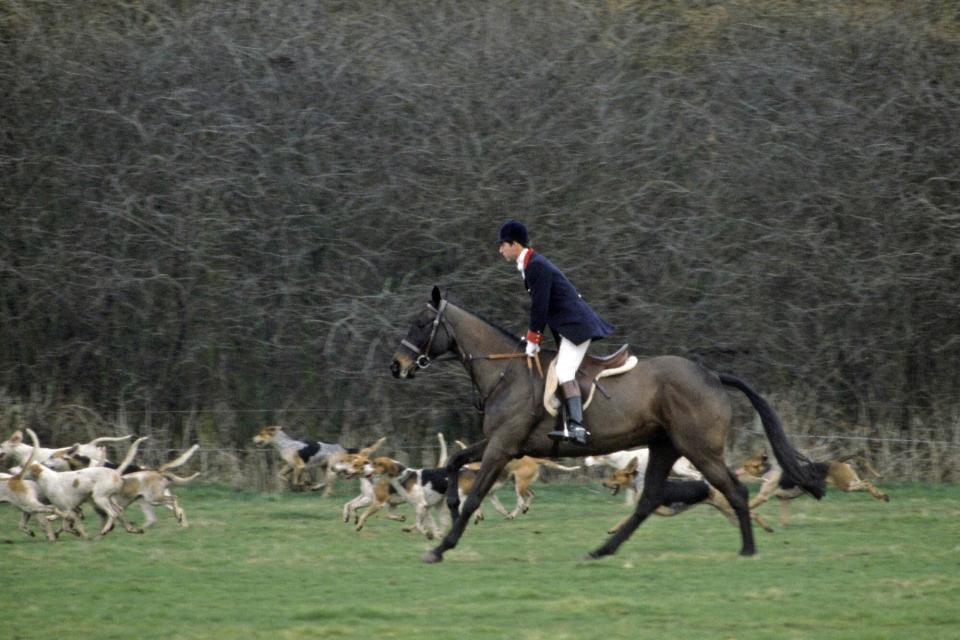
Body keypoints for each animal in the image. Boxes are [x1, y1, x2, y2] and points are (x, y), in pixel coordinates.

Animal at [390, 288, 824, 564]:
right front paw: (448, 509)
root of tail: (713, 375)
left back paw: (748, 550)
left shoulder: (502, 446)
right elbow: (455, 462)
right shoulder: (500, 443)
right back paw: (604, 550)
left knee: (734, 490)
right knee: (649, 499)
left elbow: (476, 494)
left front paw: (441, 547)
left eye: (420, 324)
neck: (506, 372)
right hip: (664, 447)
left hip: (699, 449)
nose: (396, 366)